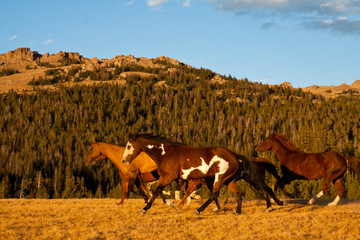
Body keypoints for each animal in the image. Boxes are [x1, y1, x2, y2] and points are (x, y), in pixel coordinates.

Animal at [122, 134, 282, 215]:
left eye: (129, 146)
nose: (124, 160)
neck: (165, 153)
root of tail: (236, 156)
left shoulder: (170, 177)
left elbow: (157, 192)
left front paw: (145, 209)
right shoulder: (168, 178)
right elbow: (160, 192)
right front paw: (173, 205)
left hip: (220, 178)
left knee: (215, 194)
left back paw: (199, 210)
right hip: (229, 181)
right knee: (239, 192)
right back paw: (237, 211)